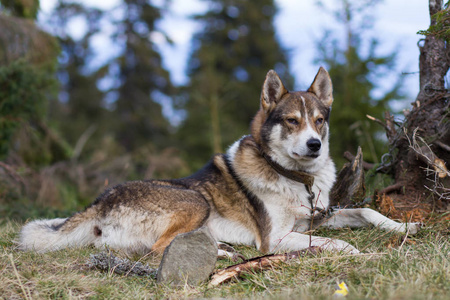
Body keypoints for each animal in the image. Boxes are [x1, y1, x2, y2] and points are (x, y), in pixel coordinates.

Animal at [17, 67, 418, 255]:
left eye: (319, 120)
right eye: (292, 121)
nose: (315, 145)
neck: (295, 177)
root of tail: (100, 202)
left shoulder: (316, 217)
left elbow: (366, 212)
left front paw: (405, 226)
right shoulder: (275, 239)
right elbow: (336, 243)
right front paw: (353, 252)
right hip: (194, 201)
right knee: (156, 250)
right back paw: (222, 252)